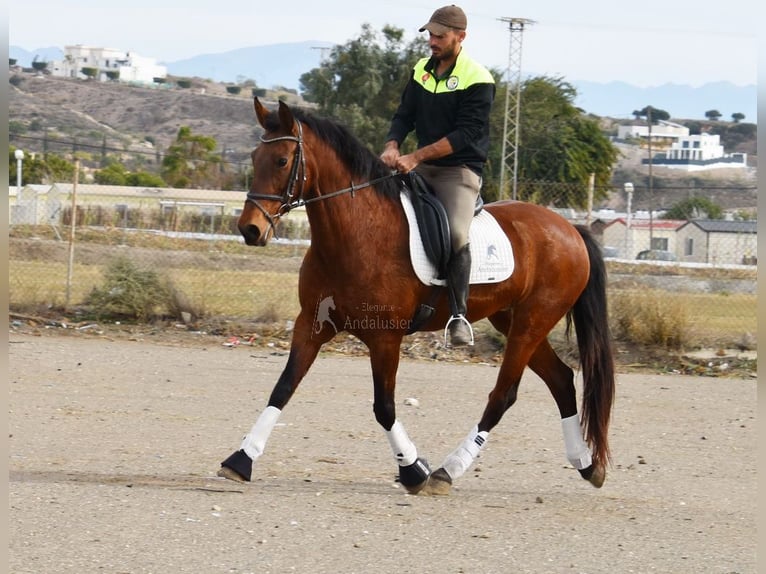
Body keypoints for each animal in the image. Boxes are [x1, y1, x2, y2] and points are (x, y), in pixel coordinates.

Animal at [218, 98, 616, 496]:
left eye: (282, 160)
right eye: (254, 157)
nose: (250, 229)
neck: (356, 232)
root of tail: (570, 229)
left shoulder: (384, 338)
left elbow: (384, 407)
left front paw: (413, 469)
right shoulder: (312, 325)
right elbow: (283, 388)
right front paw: (240, 460)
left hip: (532, 323)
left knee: (504, 395)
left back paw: (447, 471)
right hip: (514, 320)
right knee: (561, 379)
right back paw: (586, 464)